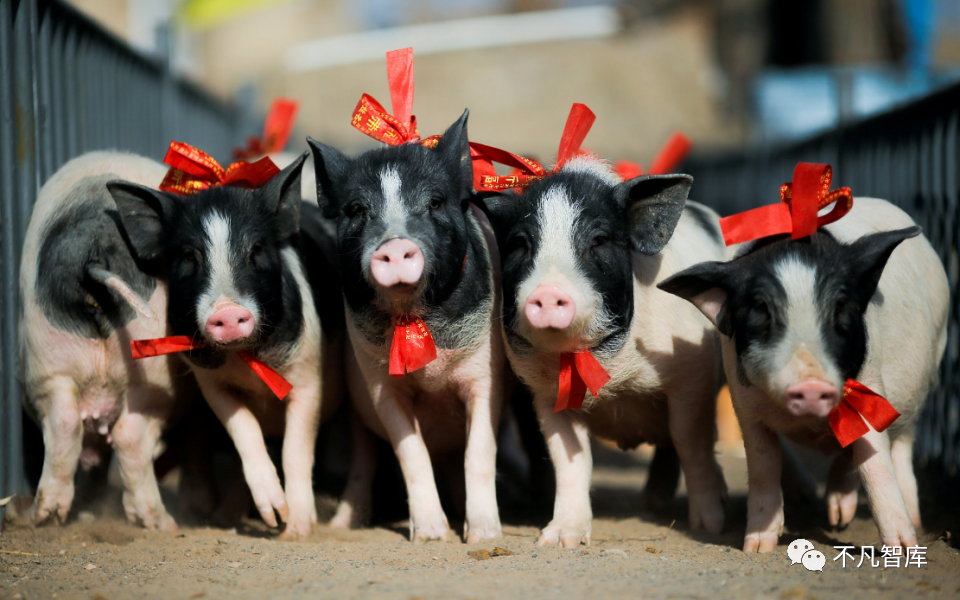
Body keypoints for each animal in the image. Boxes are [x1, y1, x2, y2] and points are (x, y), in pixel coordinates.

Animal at [19, 151, 197, 528]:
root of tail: (95, 249)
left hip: (47, 352)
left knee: (65, 424)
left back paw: (45, 516)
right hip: (154, 371)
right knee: (130, 437)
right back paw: (160, 522)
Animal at [104, 154, 338, 540]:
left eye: (256, 249)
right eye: (188, 256)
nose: (227, 312)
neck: (243, 358)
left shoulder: (310, 374)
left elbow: (296, 448)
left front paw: (294, 530)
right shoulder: (209, 382)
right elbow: (243, 428)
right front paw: (273, 516)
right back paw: (224, 519)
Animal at [310, 108, 510, 544]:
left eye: (434, 202)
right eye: (356, 210)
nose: (394, 244)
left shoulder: (486, 374)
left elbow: (479, 452)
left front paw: (484, 537)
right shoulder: (379, 385)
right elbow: (410, 452)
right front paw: (432, 536)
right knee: (363, 462)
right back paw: (342, 524)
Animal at [484, 156, 732, 548]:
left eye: (598, 240)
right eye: (521, 244)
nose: (549, 291)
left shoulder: (693, 375)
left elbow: (690, 442)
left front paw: (708, 527)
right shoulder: (545, 395)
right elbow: (570, 459)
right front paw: (559, 540)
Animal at [656, 198, 948, 552]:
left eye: (840, 305)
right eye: (760, 308)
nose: (811, 384)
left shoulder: (871, 386)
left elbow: (876, 463)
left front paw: (903, 551)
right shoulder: (744, 404)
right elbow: (763, 465)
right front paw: (757, 547)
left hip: (927, 375)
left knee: (901, 445)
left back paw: (898, 523)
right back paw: (837, 518)